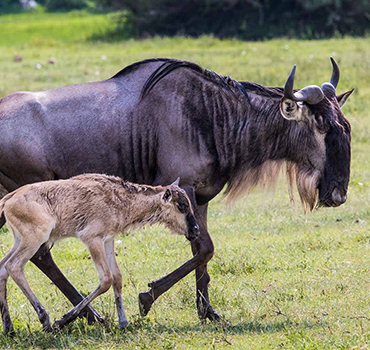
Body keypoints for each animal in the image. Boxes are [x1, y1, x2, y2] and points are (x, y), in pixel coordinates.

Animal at [0, 174, 199, 334]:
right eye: (181, 205)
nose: (196, 230)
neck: (120, 199)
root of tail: (8, 199)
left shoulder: (108, 241)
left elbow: (117, 277)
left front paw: (123, 322)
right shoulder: (92, 239)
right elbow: (106, 280)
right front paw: (63, 320)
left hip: (20, 240)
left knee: (3, 268)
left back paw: (9, 329)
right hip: (35, 238)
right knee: (14, 266)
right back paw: (46, 321)